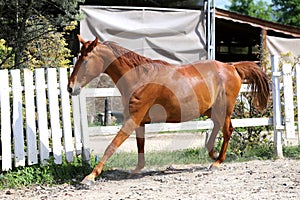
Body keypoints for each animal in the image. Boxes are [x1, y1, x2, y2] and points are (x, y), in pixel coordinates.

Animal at [68, 35, 270, 185]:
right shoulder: (139, 121)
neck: (140, 77)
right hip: (210, 109)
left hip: (224, 108)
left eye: (85, 61)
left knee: (227, 130)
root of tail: (231, 66)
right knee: (218, 126)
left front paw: (90, 177)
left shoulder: (133, 119)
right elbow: (140, 145)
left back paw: (217, 162)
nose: (71, 88)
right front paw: (137, 169)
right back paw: (212, 153)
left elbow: (112, 145)